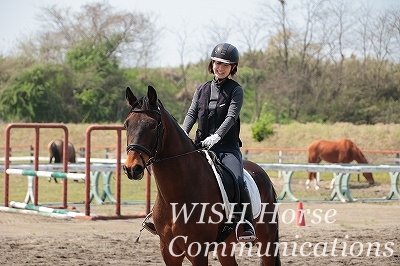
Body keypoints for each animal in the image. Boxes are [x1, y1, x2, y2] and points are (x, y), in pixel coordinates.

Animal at [123, 85, 280, 266]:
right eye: (126, 124)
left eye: (153, 125)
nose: (132, 168)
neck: (176, 196)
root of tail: (263, 174)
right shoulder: (168, 251)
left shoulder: (198, 251)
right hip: (225, 247)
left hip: (267, 242)